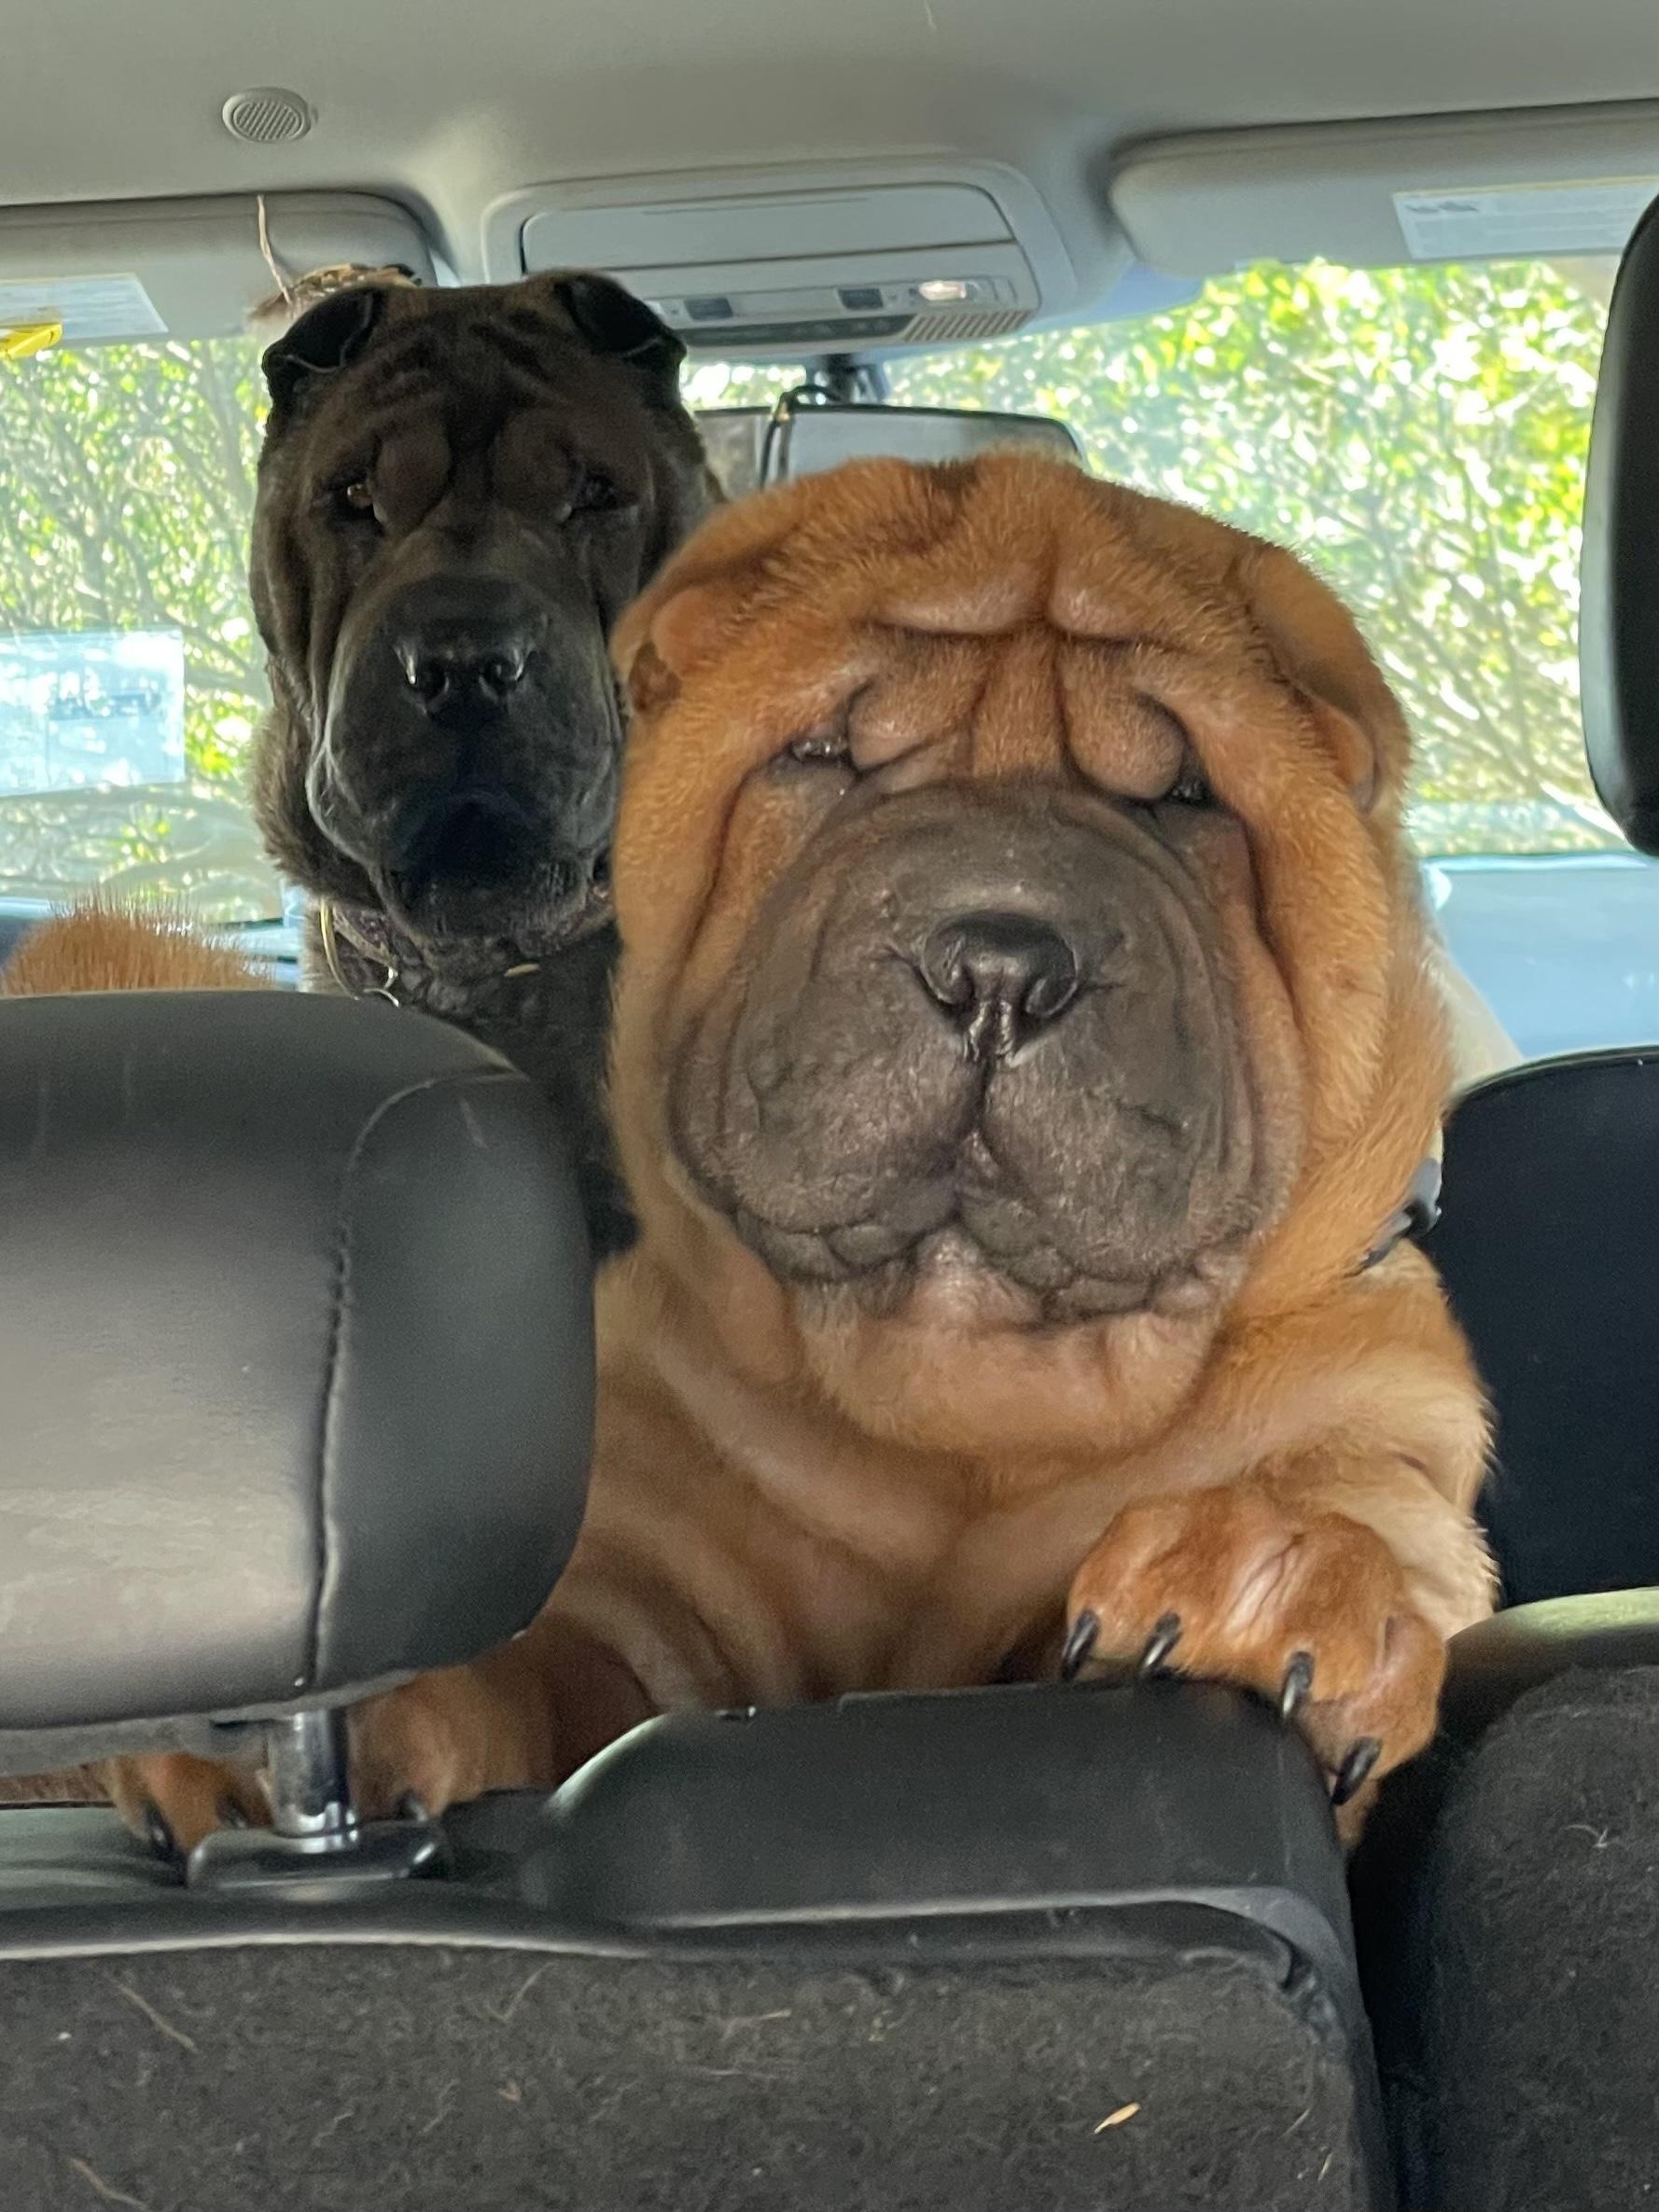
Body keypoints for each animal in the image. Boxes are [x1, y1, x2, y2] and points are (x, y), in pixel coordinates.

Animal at [104, 454, 1498, 1852]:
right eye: (822, 754)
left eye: (1185, 796)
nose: (997, 967)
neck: (953, 1398)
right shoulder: (639, 1575)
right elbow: (542, 1667)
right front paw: (310, 1734)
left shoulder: (1375, 1431)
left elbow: (1343, 1519)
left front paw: (1277, 1579)